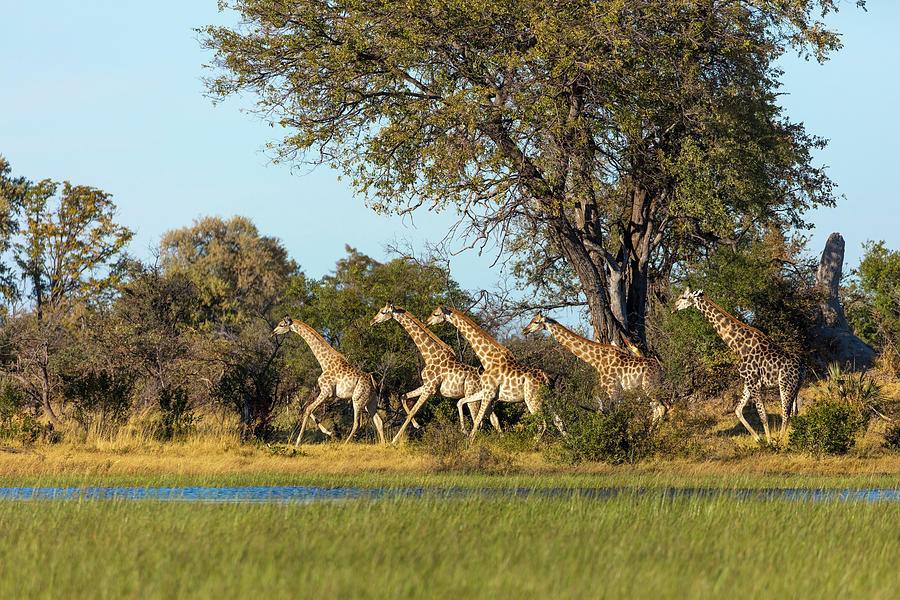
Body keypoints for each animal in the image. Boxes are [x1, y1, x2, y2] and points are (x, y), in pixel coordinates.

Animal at [268, 318, 384, 446]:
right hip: (370, 402)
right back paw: (384, 444)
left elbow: (308, 409)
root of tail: (373, 383)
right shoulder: (328, 394)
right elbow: (309, 409)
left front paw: (298, 442)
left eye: (281, 325)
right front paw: (329, 432)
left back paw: (344, 444)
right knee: (379, 421)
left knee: (357, 423)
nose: (272, 333)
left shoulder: (326, 391)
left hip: (357, 400)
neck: (324, 363)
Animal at [370, 302, 502, 442]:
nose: (372, 321)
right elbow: (403, 397)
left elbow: (412, 412)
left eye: (383, 312)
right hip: (485, 397)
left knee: (478, 420)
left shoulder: (429, 388)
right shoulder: (428, 386)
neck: (429, 355)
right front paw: (417, 425)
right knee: (493, 419)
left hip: (472, 396)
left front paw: (394, 440)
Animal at [426, 304, 568, 440]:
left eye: (436, 314)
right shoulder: (486, 392)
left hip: (532, 399)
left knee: (542, 424)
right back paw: (569, 444)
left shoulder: (488, 393)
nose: (427, 322)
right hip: (548, 398)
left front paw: (469, 443)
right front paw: (464, 431)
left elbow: (477, 420)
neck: (487, 359)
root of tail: (545, 378)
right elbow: (461, 402)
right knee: (559, 421)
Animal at [520, 314, 668, 422]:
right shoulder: (616, 391)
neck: (597, 361)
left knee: (661, 408)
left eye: (536, 322)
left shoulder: (613, 389)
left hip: (650, 387)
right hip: (649, 388)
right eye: (531, 320)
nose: (524, 330)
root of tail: (663, 369)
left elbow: (617, 413)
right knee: (658, 409)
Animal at [672, 286, 804, 440]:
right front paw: (758, 439)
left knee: (785, 414)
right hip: (796, 387)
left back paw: (780, 441)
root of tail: (802, 368)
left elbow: (763, 415)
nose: (673, 309)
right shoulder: (748, 383)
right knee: (794, 413)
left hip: (785, 385)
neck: (738, 346)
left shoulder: (753, 383)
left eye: (684, 297)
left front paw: (769, 442)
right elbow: (738, 410)